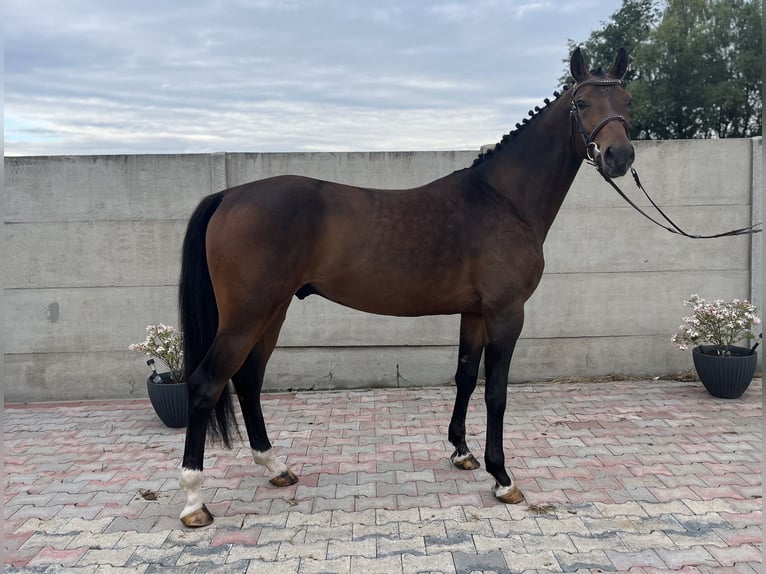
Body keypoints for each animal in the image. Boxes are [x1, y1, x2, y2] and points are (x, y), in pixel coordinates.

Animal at [178, 47, 636, 528]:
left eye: (627, 100)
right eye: (582, 103)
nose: (619, 156)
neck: (503, 200)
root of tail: (228, 196)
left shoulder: (474, 312)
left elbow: (465, 377)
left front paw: (461, 452)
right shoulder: (506, 313)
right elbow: (496, 392)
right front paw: (502, 477)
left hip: (273, 311)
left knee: (248, 379)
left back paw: (275, 466)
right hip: (248, 315)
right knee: (206, 384)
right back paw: (194, 501)